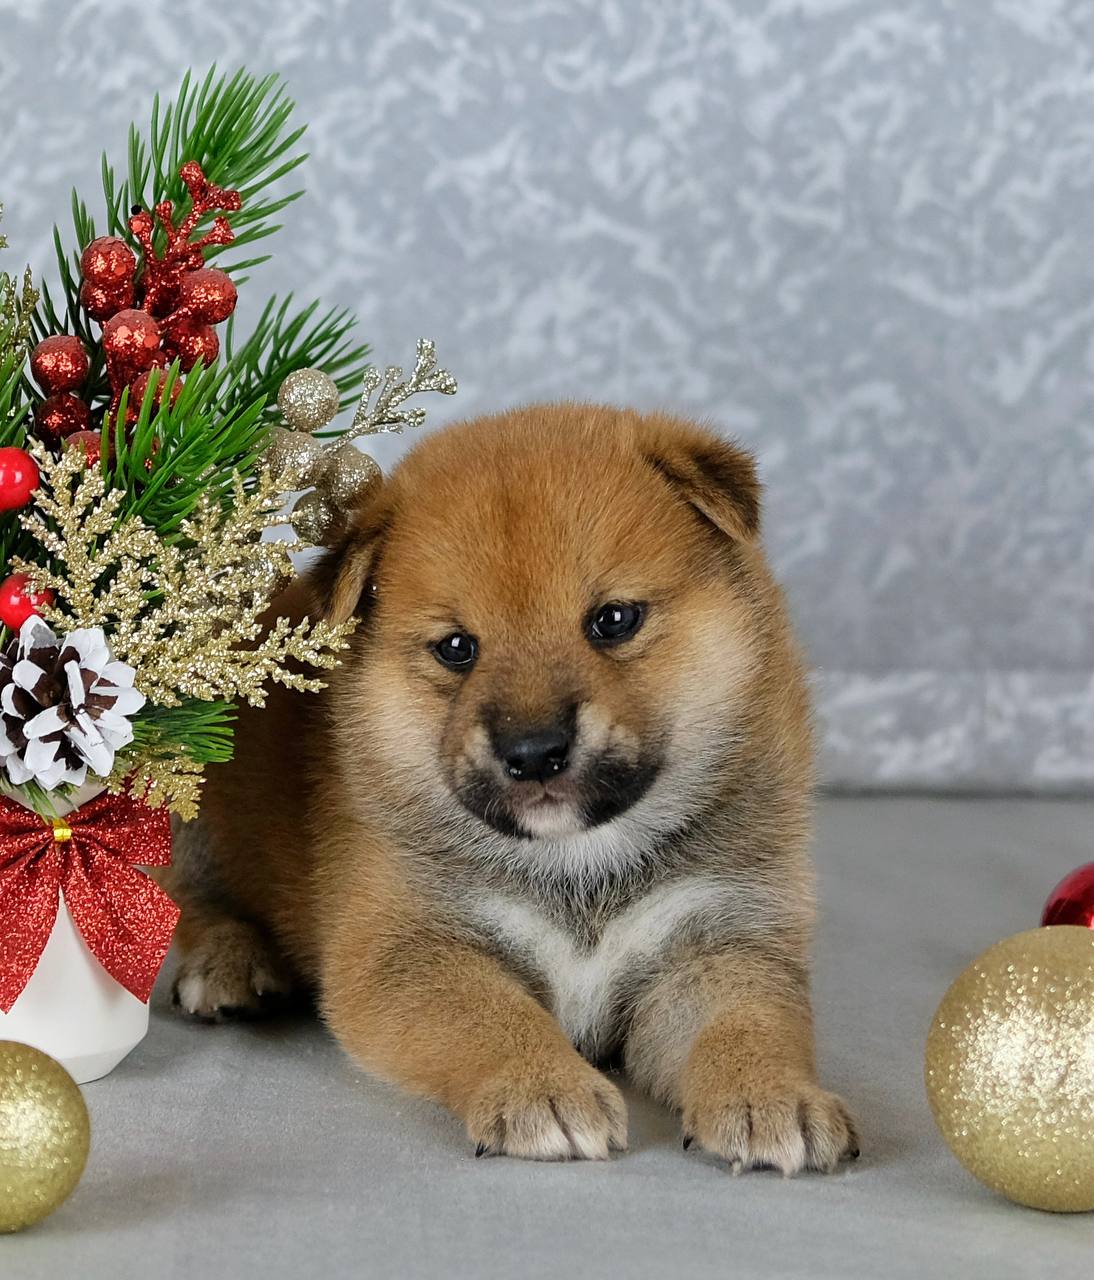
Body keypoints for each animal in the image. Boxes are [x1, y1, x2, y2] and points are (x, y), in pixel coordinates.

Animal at [166, 402, 858, 1172]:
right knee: (192, 902)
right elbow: (489, 1016)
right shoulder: (410, 948)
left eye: (614, 619)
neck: (581, 865)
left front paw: (772, 1095)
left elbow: (749, 1021)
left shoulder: (720, 937)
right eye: (457, 649)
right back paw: (231, 963)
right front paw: (544, 1088)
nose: (533, 753)